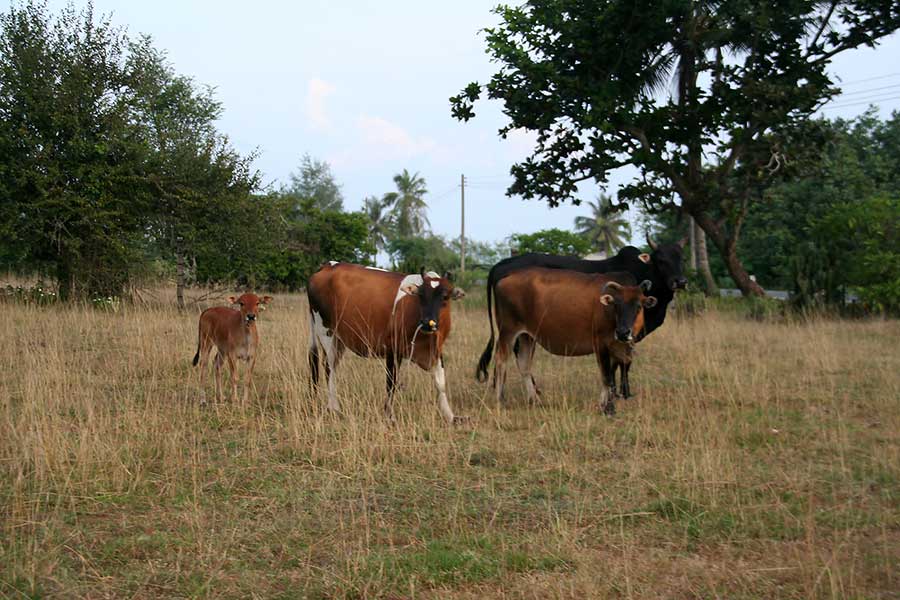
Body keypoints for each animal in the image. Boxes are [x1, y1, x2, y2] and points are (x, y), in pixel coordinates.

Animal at [308, 262, 468, 422]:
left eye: (445, 297)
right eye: (421, 295)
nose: (427, 323)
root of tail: (328, 266)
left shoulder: (437, 349)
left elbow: (441, 382)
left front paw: (450, 416)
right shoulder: (392, 348)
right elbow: (391, 382)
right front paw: (389, 415)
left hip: (339, 339)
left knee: (331, 366)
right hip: (325, 332)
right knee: (328, 367)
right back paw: (334, 407)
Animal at [482, 238, 684, 398]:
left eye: (681, 259)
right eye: (660, 260)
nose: (680, 281)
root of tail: (501, 265)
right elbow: (622, 363)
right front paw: (621, 393)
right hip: (511, 328)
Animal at [482, 268, 656, 414]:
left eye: (639, 306)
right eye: (616, 306)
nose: (623, 332)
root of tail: (504, 279)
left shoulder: (617, 347)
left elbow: (612, 376)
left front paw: (609, 405)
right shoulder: (600, 344)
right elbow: (606, 377)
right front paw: (605, 406)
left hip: (527, 336)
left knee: (524, 364)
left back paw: (535, 400)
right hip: (508, 331)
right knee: (501, 360)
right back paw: (500, 400)